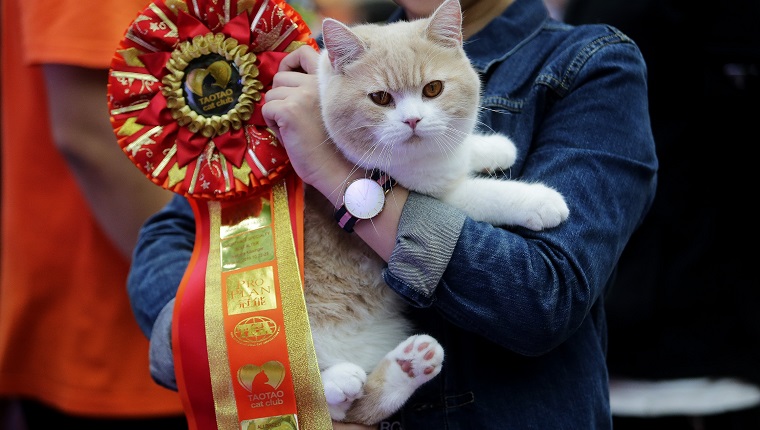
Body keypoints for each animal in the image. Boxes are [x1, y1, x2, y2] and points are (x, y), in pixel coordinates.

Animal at [300, 0, 568, 424]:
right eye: (380, 98)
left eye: (433, 89)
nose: (413, 120)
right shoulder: (432, 192)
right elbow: (486, 193)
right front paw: (540, 201)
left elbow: (459, 151)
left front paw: (494, 147)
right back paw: (337, 381)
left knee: (357, 408)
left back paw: (409, 364)